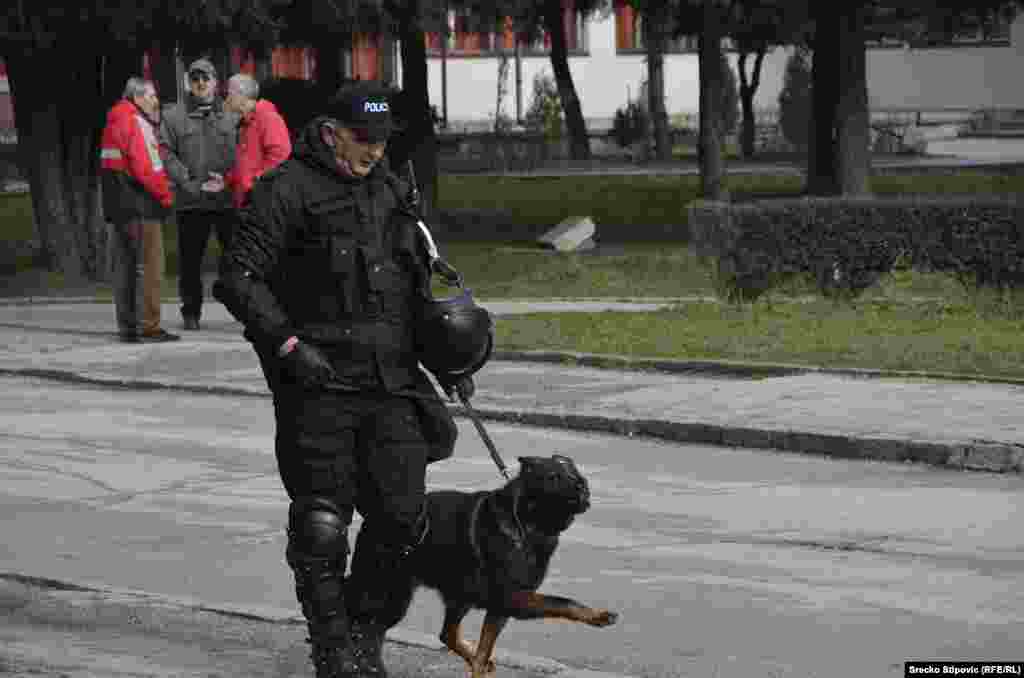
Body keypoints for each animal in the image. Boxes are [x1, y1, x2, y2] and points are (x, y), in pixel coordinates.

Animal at [391, 454, 614, 675]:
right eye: (553, 477)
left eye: (574, 473)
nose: (582, 485)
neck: (526, 525)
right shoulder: (513, 598)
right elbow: (562, 602)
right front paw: (597, 616)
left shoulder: (500, 609)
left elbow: (482, 654)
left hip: (460, 598)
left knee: (448, 634)